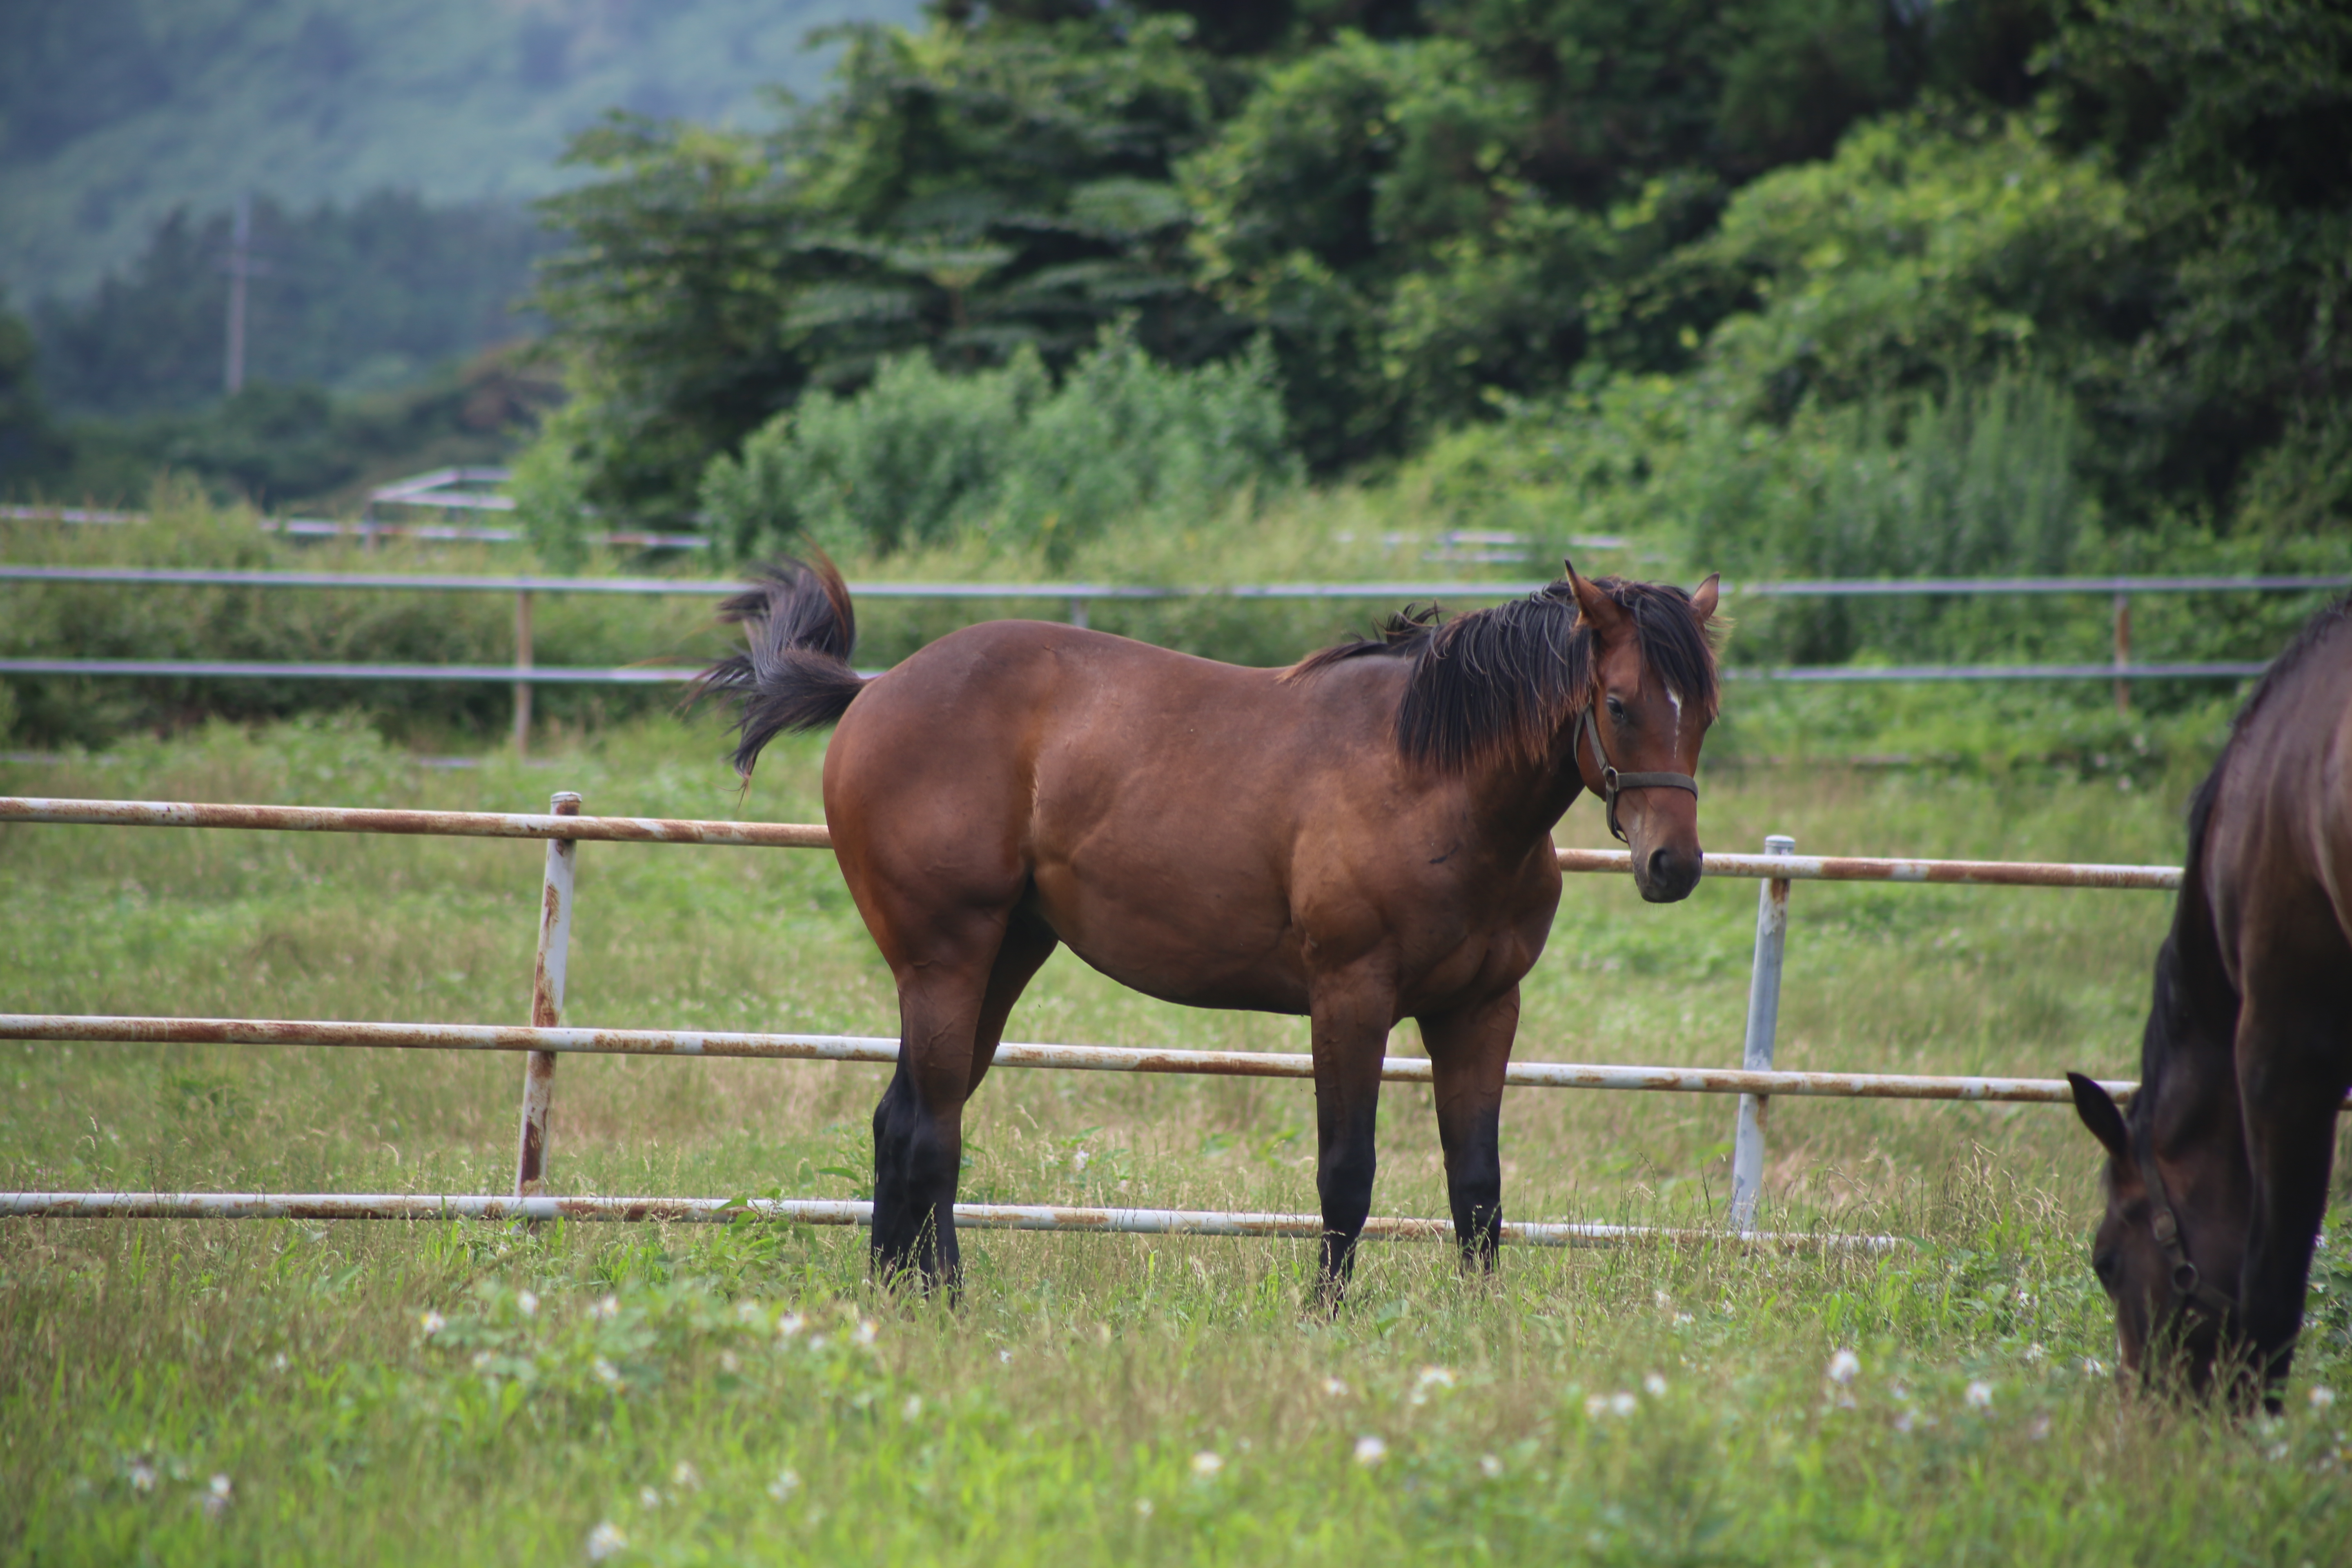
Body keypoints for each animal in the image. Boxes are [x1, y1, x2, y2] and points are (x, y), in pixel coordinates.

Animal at [686, 557, 1722, 1297]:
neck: (1432, 781)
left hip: (1001, 959)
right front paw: (1325, 1317)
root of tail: (873, 690)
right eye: (1618, 703)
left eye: (1704, 709)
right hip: (945, 960)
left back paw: (897, 1291)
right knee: (930, 1131)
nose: (1672, 865)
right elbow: (1346, 1173)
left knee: (905, 1121)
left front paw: (1478, 1326)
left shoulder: (1480, 1010)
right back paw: (942, 1300)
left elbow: (1476, 1186)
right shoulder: (1350, 998)